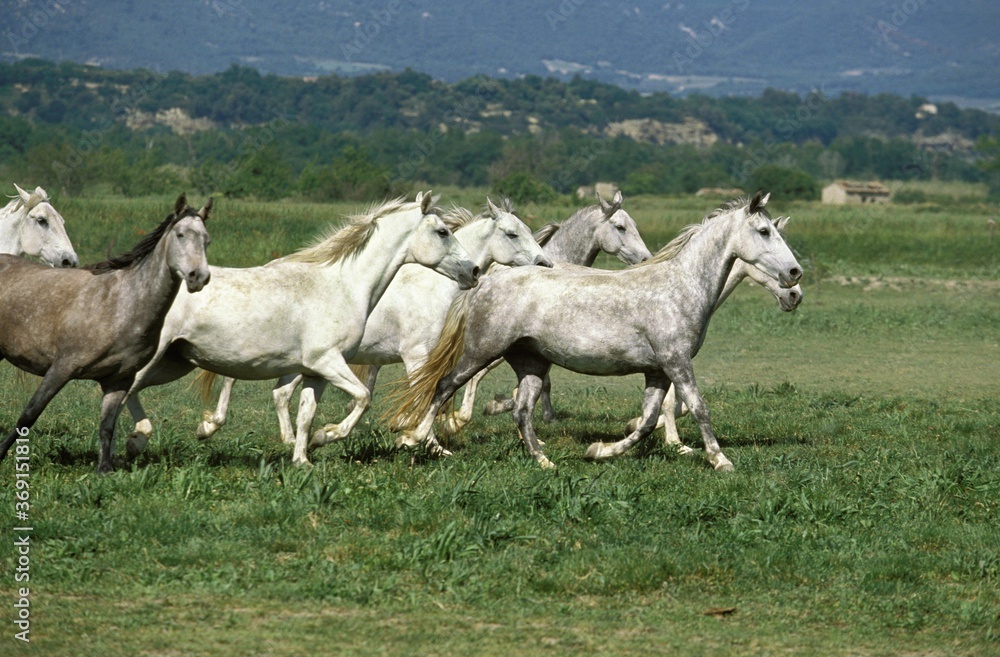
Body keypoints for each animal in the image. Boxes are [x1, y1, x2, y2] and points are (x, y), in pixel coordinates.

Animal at [0, 195, 211, 472]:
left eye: (207, 240)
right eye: (180, 234)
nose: (199, 276)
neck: (120, 303)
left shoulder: (117, 380)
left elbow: (107, 426)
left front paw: (105, 469)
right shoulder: (60, 368)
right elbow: (29, 414)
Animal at [126, 192, 480, 464]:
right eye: (443, 232)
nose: (473, 271)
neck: (344, 285)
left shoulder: (315, 371)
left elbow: (306, 413)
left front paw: (303, 458)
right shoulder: (329, 361)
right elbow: (363, 397)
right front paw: (327, 435)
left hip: (173, 363)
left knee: (131, 391)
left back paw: (148, 438)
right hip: (155, 359)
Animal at [192, 196, 556, 446]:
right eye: (512, 234)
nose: (544, 264)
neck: (431, 285)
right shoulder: (415, 355)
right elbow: (424, 395)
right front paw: (423, 440)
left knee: (279, 394)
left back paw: (290, 439)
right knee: (234, 379)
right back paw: (212, 424)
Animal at [394, 193, 800, 472]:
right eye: (764, 231)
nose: (795, 277)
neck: (680, 286)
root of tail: (486, 280)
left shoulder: (657, 370)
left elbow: (648, 421)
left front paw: (600, 451)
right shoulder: (676, 362)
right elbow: (698, 407)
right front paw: (719, 460)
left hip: (531, 363)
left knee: (522, 411)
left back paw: (543, 460)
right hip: (481, 351)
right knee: (445, 385)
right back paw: (417, 439)